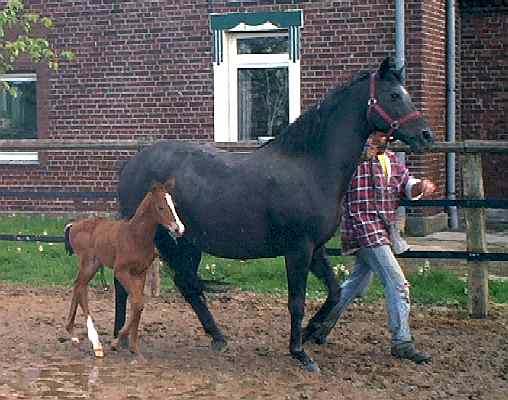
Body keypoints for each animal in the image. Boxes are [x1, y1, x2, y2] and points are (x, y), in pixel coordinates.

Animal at [64, 177, 185, 356]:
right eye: (160, 207)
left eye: (174, 205)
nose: (179, 229)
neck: (135, 236)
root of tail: (73, 225)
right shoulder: (121, 271)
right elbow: (137, 302)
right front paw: (117, 341)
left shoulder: (140, 272)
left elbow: (138, 304)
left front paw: (134, 347)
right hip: (88, 263)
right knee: (80, 288)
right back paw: (96, 344)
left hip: (93, 265)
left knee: (79, 287)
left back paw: (72, 333)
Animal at [114, 57, 432, 372]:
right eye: (394, 95)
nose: (425, 135)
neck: (310, 167)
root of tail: (133, 164)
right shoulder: (298, 249)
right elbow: (297, 302)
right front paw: (300, 353)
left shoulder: (315, 249)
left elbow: (335, 292)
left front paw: (311, 332)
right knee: (136, 282)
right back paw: (122, 337)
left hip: (187, 243)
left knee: (186, 286)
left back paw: (213, 337)